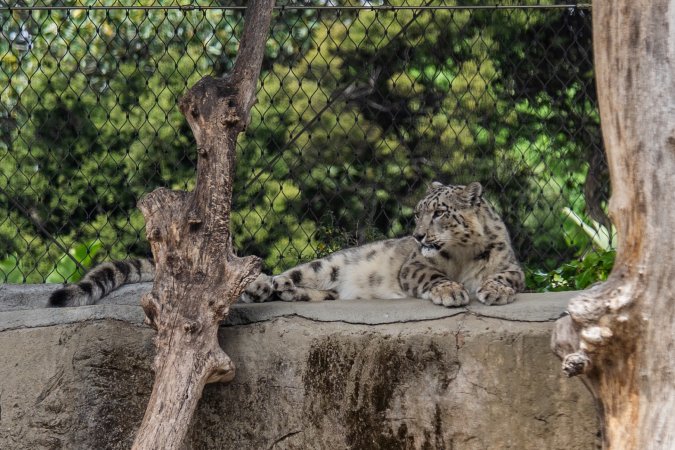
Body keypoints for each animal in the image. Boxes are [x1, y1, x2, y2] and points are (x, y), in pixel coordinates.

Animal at [48, 181, 524, 308]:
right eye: (418, 214)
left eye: (440, 212)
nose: (420, 236)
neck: (463, 257)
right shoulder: (414, 267)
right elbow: (429, 274)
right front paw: (451, 291)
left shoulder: (512, 265)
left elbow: (508, 278)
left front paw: (491, 291)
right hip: (323, 265)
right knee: (277, 279)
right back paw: (261, 286)